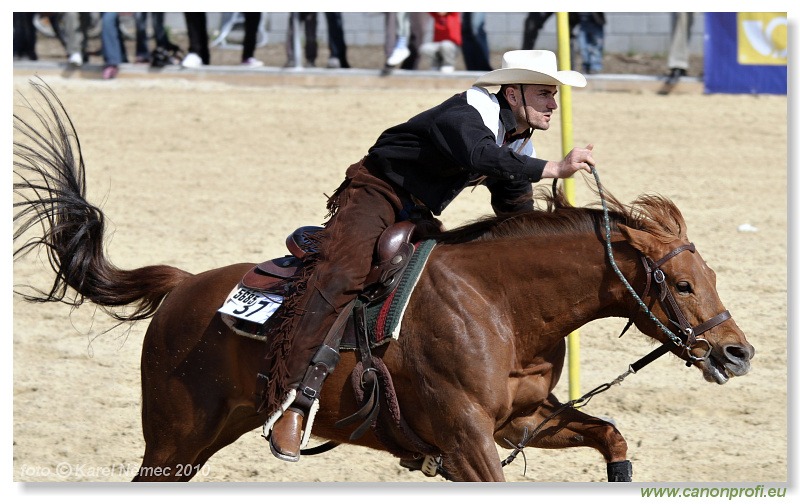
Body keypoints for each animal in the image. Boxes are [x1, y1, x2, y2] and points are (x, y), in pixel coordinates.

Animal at [14, 80, 756, 482]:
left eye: (711, 275)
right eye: (682, 285)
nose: (739, 352)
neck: (501, 308)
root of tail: (184, 286)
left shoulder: (524, 421)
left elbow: (613, 438)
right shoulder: (467, 443)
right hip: (174, 438)